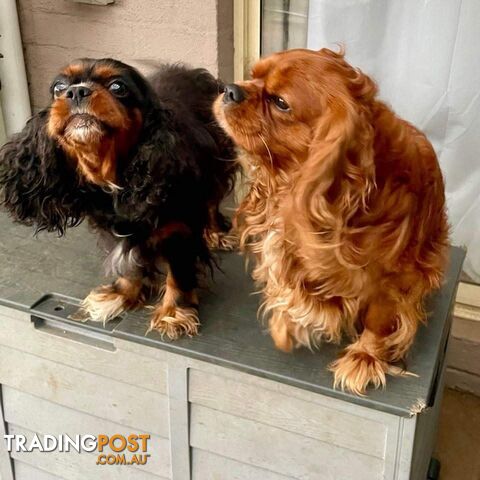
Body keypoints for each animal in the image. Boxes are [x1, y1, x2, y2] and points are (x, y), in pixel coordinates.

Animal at [0, 59, 238, 338]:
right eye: (58, 87)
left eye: (117, 86)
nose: (76, 91)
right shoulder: (110, 227)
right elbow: (128, 264)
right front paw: (121, 295)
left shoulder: (179, 229)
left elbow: (178, 273)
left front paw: (173, 314)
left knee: (211, 204)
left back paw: (215, 233)